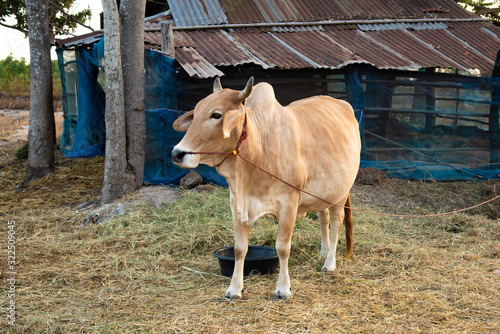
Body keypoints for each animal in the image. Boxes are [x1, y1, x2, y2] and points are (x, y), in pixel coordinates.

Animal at [172, 77, 360, 300]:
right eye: (196, 112)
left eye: (216, 115)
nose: (177, 153)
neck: (257, 150)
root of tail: (343, 105)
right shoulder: (236, 203)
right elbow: (240, 248)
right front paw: (234, 289)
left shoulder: (289, 203)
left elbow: (282, 248)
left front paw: (283, 289)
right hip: (322, 193)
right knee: (324, 217)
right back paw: (323, 252)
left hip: (340, 193)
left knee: (337, 223)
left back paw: (329, 263)